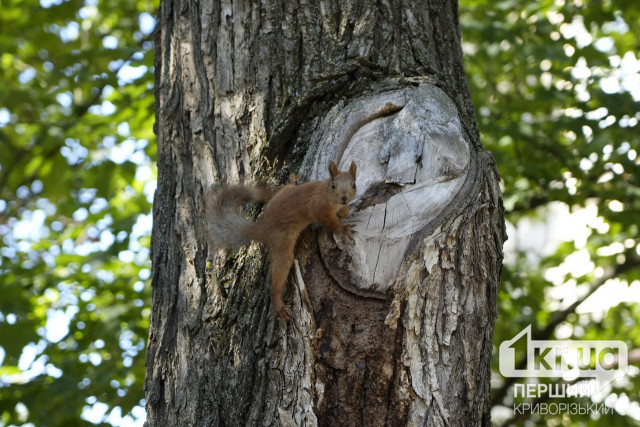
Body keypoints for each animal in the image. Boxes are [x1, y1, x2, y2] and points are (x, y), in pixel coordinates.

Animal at [206, 161, 358, 320]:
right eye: (334, 185)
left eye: (354, 185)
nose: (344, 198)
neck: (326, 191)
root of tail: (263, 226)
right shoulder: (319, 207)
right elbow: (330, 221)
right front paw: (343, 229)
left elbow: (343, 213)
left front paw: (347, 212)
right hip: (280, 243)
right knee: (280, 271)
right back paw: (278, 303)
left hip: (283, 194)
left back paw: (291, 180)